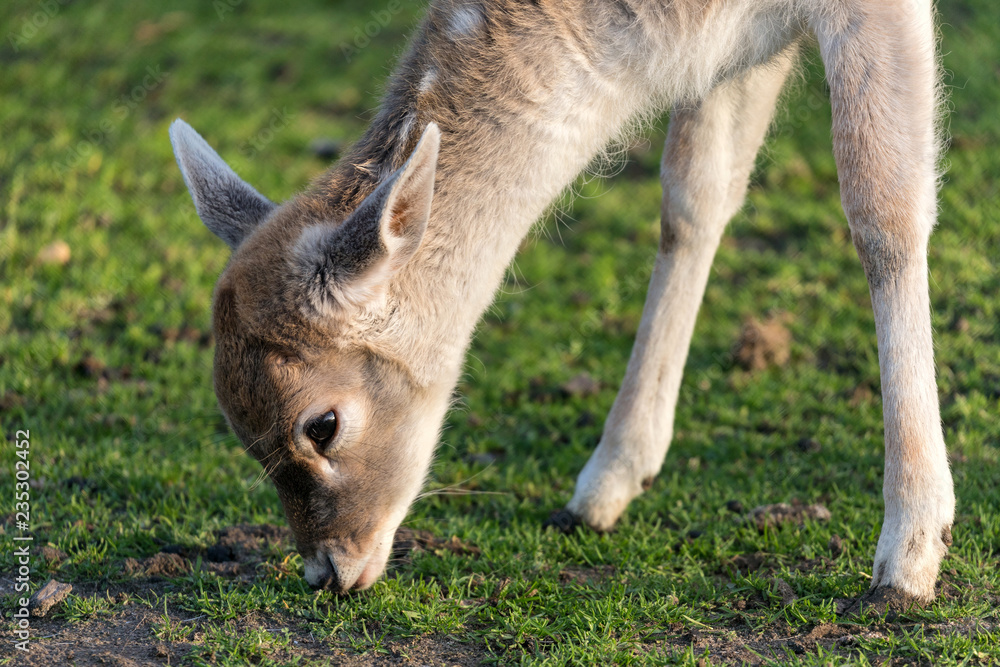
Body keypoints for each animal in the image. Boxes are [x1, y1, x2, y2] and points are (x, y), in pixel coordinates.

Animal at [169, 0, 955, 608]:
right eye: (236, 425)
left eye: (323, 424)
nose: (329, 569)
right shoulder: (733, 46)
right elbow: (693, 200)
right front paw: (605, 483)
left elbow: (884, 212)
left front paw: (910, 556)